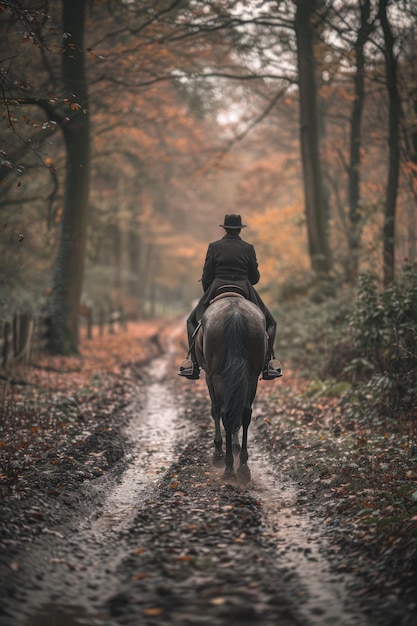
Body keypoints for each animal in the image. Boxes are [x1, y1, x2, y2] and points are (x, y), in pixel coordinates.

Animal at [194, 292, 266, 482]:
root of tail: (236, 314)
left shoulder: (209, 376)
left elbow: (215, 410)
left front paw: (219, 450)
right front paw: (235, 444)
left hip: (218, 376)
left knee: (224, 413)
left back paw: (227, 465)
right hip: (252, 377)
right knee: (245, 413)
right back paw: (243, 467)